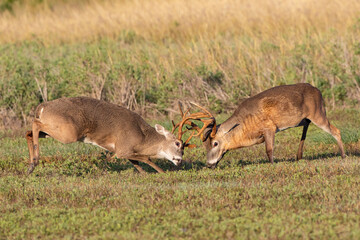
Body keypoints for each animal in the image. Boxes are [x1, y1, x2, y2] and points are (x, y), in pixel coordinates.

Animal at [24, 96, 194, 173]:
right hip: (69, 132)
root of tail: (42, 107)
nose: (180, 160)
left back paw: (31, 165)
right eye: (178, 144)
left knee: (29, 132)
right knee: (35, 124)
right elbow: (146, 158)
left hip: (55, 130)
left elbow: (137, 163)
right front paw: (163, 173)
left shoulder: (122, 150)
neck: (142, 137)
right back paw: (34, 162)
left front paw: (147, 174)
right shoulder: (122, 149)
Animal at [186, 83, 346, 168]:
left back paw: (343, 156)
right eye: (205, 146)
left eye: (215, 143)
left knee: (336, 131)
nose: (208, 164)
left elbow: (269, 150)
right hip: (305, 119)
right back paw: (299, 156)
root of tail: (318, 91)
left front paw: (272, 165)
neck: (244, 126)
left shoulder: (269, 127)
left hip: (318, 113)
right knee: (306, 128)